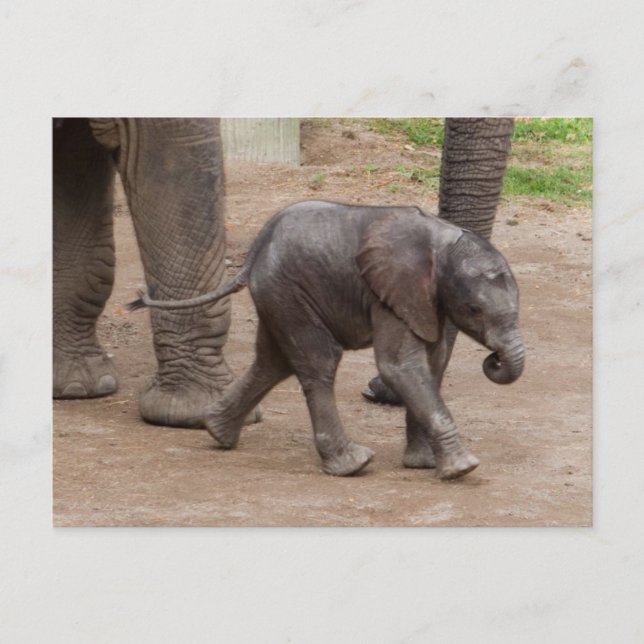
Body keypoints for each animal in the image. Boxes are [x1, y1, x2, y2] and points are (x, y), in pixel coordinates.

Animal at [129, 200, 525, 479]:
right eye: (474, 309)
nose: (493, 360)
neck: (444, 242)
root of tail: (254, 251)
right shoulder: (389, 293)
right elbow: (399, 367)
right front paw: (463, 469)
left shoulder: (427, 300)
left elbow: (433, 364)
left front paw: (423, 465)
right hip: (289, 291)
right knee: (319, 362)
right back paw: (352, 464)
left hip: (278, 295)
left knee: (272, 362)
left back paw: (217, 431)